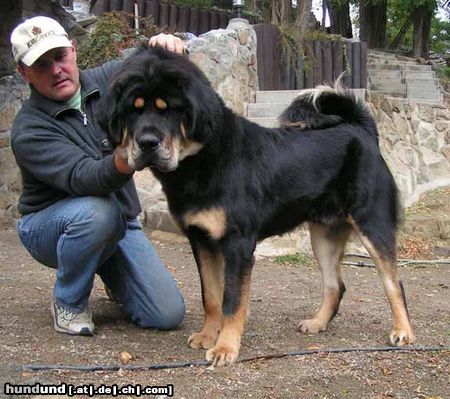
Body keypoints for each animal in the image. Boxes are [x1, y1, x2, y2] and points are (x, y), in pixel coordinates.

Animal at [100, 45, 416, 368]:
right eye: (133, 110)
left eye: (169, 110)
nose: (147, 142)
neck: (203, 160)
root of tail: (362, 130)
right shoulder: (201, 240)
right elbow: (211, 296)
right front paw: (207, 336)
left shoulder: (238, 244)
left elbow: (232, 300)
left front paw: (226, 347)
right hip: (323, 235)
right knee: (334, 285)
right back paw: (317, 323)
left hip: (372, 224)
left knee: (394, 282)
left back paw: (403, 331)